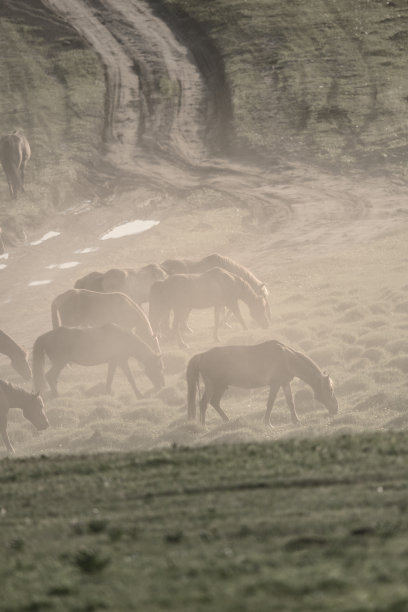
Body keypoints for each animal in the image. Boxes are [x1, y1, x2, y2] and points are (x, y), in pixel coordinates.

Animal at [32, 322, 164, 400]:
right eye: (158, 368)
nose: (162, 386)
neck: (123, 339)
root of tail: (44, 337)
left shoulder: (113, 362)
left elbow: (109, 378)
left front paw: (108, 394)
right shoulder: (121, 361)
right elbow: (130, 378)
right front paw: (139, 395)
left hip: (60, 364)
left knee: (53, 378)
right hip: (60, 363)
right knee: (50, 376)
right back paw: (57, 396)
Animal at [186, 340, 340, 426]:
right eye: (330, 389)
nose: (336, 409)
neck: (287, 358)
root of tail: (202, 356)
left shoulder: (284, 383)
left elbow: (290, 402)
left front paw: (296, 421)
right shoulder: (275, 384)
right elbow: (270, 403)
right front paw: (267, 423)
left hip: (221, 386)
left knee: (214, 402)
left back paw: (227, 421)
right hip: (212, 385)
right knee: (204, 403)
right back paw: (204, 426)